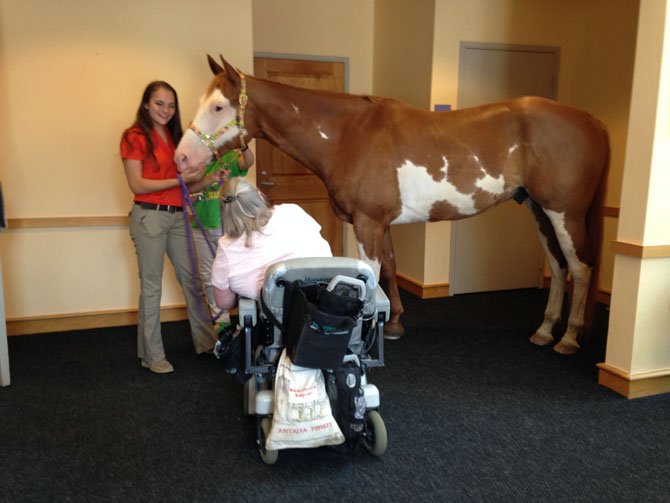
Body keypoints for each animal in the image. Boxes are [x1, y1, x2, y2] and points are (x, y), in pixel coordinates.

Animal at [176, 54, 612, 354]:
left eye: (218, 106)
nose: (182, 159)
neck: (348, 135)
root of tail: (589, 118)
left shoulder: (367, 222)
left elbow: (368, 274)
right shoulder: (378, 222)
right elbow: (389, 266)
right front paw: (397, 323)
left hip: (565, 213)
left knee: (580, 268)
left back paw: (568, 339)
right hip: (540, 211)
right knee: (559, 267)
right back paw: (545, 330)